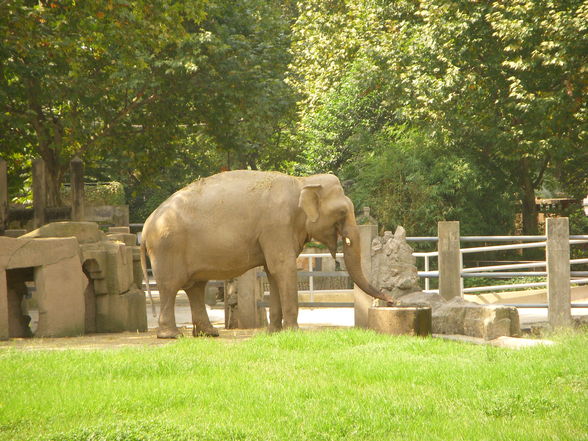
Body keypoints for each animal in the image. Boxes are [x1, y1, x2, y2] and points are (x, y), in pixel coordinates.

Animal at [140, 169, 392, 336]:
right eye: (341, 212)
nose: (389, 299)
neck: (302, 182)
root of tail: (144, 228)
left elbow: (273, 272)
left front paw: (274, 332)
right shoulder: (277, 225)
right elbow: (283, 268)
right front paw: (293, 332)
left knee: (195, 287)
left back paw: (209, 334)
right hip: (167, 248)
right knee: (171, 287)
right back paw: (171, 335)